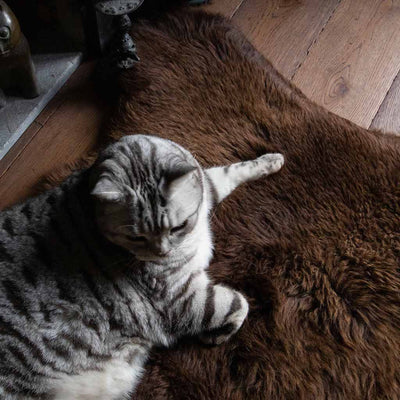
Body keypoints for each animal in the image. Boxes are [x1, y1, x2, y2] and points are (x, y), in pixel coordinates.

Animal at [0, 135, 284, 400]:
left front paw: (271, 160)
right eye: (136, 237)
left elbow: (227, 172)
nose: (161, 252)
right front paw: (216, 336)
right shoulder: (180, 299)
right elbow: (239, 303)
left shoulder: (204, 187)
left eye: (178, 227)